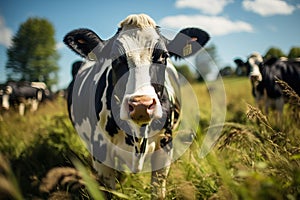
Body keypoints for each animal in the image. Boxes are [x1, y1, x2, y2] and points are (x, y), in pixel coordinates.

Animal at [63, 13, 209, 198]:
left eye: (163, 56)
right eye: (115, 58)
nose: (141, 104)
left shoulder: (165, 145)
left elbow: (158, 189)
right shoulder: (101, 150)